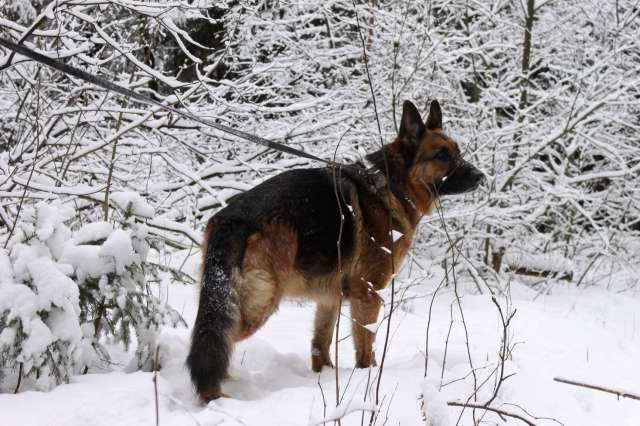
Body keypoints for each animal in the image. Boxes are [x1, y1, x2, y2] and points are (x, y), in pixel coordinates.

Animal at [188, 100, 482, 402]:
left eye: (458, 152)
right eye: (442, 155)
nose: (480, 177)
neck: (392, 186)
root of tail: (233, 219)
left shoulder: (329, 298)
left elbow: (321, 344)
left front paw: (325, 378)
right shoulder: (368, 294)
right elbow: (366, 348)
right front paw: (367, 380)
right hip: (259, 303)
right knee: (216, 342)